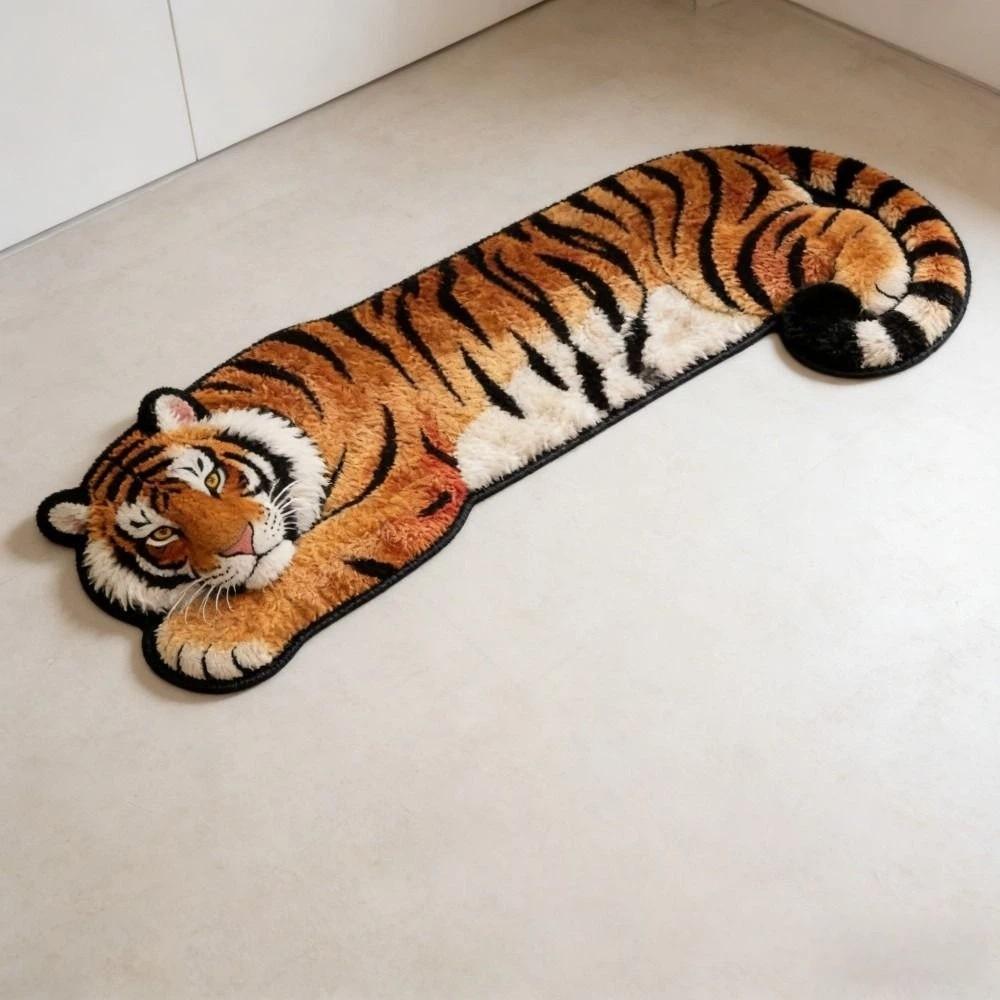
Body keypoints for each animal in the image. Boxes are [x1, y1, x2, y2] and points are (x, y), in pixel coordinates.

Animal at [37, 144, 970, 692]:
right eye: (160, 535)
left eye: (214, 478)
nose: (233, 546)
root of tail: (720, 146)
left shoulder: (413, 482)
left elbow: (314, 559)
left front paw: (208, 637)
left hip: (741, 253)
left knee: (842, 225)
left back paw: (875, 280)